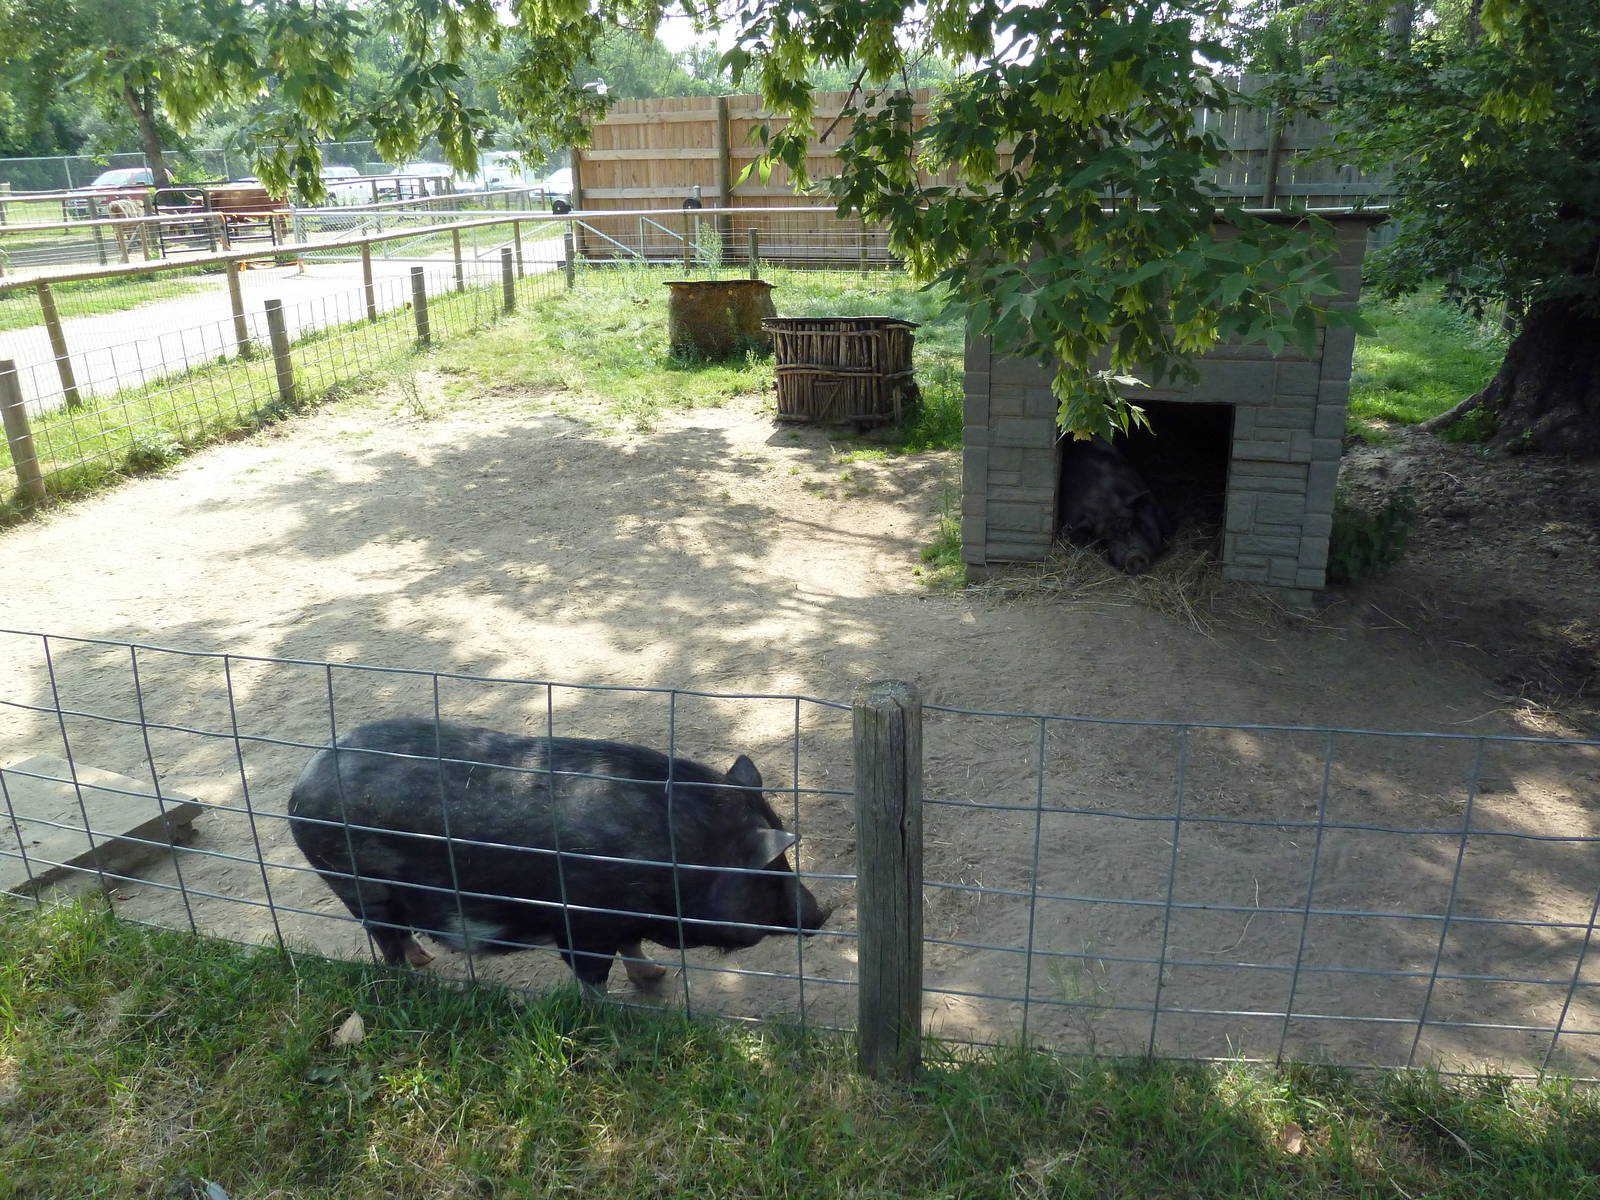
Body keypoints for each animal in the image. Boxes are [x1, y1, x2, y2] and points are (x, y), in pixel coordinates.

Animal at [287, 719, 826, 988]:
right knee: (384, 937)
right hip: (355, 882)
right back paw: (414, 977)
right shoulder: (582, 924)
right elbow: (592, 975)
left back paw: (424, 962)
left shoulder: (619, 923)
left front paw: (657, 975)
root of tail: (305, 778)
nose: (820, 915)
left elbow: (632, 947)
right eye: (771, 871)